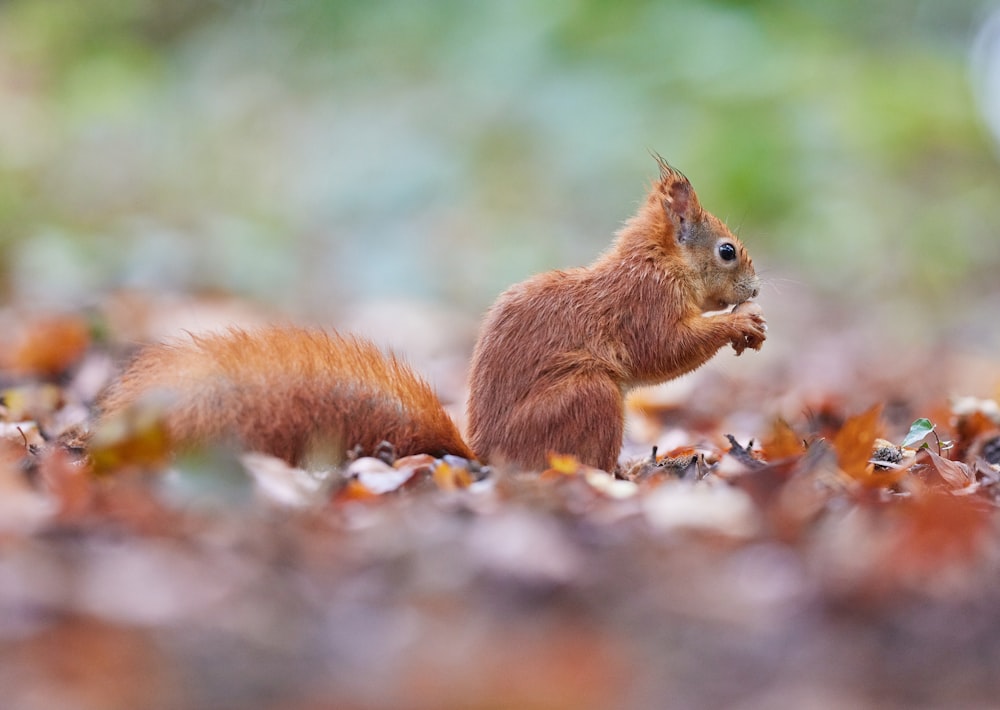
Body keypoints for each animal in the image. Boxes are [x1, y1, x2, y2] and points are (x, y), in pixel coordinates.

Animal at [97, 159, 764, 476]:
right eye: (727, 251)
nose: (757, 287)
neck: (657, 262)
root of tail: (482, 454)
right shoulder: (644, 304)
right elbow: (661, 351)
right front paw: (739, 326)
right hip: (590, 395)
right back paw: (623, 472)